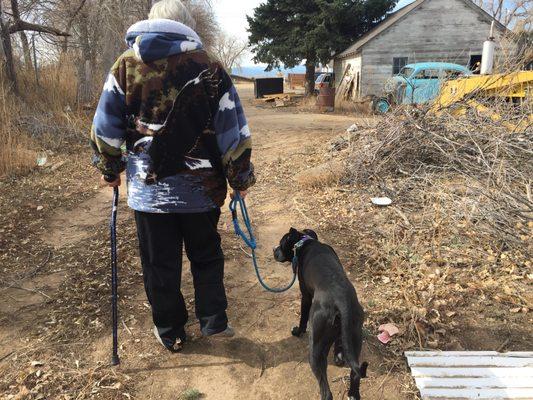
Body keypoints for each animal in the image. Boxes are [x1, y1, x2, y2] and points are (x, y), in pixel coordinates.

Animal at [274, 228, 366, 400]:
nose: (273, 250)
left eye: (281, 243)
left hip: (315, 348)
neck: (305, 242)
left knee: (326, 392)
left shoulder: (305, 296)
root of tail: (342, 301)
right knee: (355, 373)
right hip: (356, 337)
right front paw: (339, 355)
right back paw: (352, 392)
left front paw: (298, 331)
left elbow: (303, 318)